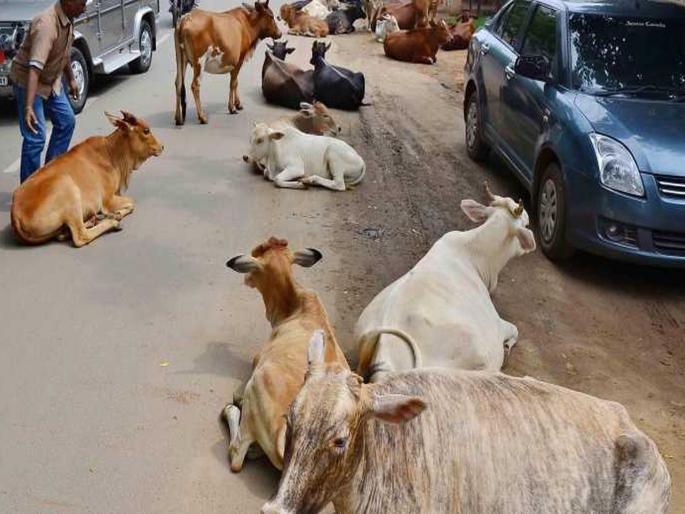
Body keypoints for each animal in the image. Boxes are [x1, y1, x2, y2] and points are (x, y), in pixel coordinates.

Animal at [11, 112, 163, 248]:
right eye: (146, 130)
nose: (161, 147)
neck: (112, 153)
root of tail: (15, 214)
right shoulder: (108, 200)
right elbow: (131, 203)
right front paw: (117, 214)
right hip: (69, 191)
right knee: (81, 236)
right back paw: (111, 222)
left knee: (63, 234)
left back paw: (92, 220)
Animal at [223, 238, 349, 472]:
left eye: (255, 260)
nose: (246, 279)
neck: (295, 307)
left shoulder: (258, 358)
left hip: (257, 384)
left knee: (237, 455)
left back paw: (233, 408)